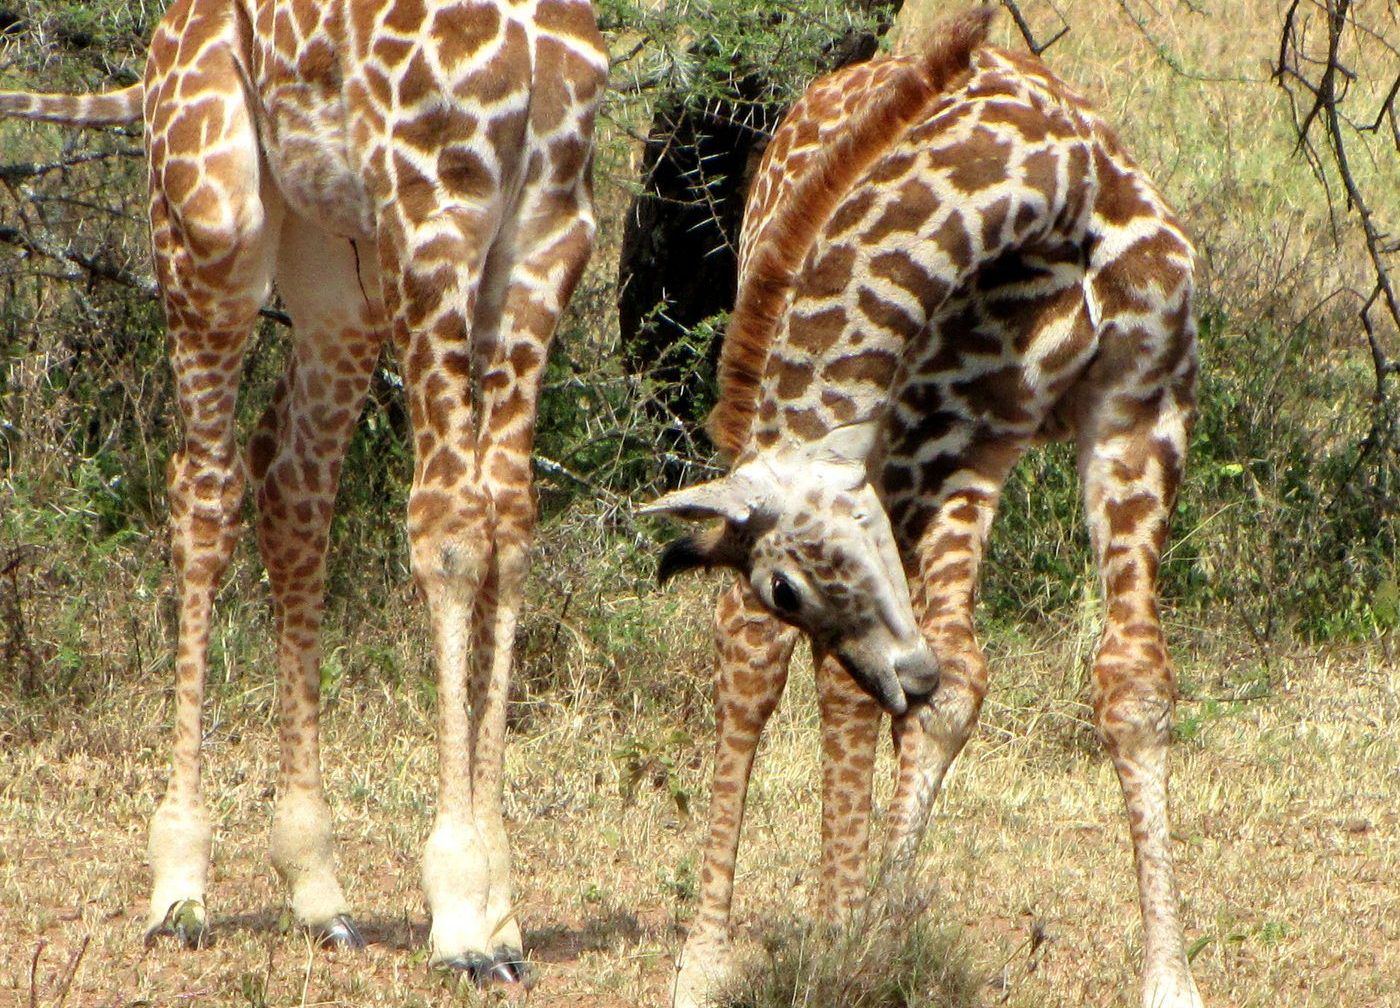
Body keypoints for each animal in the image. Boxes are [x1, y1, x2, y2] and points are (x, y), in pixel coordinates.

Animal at [1, 0, 607, 981]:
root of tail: (160, 44)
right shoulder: (432, 212)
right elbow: (450, 535)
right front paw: (461, 910)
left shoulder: (549, 230)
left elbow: (509, 534)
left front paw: (501, 911)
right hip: (213, 219)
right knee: (205, 488)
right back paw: (181, 886)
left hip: (339, 268)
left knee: (292, 487)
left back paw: (317, 889)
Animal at [642, 8, 1205, 1008]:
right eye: (786, 587)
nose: (902, 674)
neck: (1050, 190)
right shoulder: (942, 431)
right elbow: (870, 685)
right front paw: (841, 943)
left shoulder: (1140, 409)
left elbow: (1129, 680)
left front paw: (1170, 978)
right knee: (755, 656)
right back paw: (710, 961)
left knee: (926, 673)